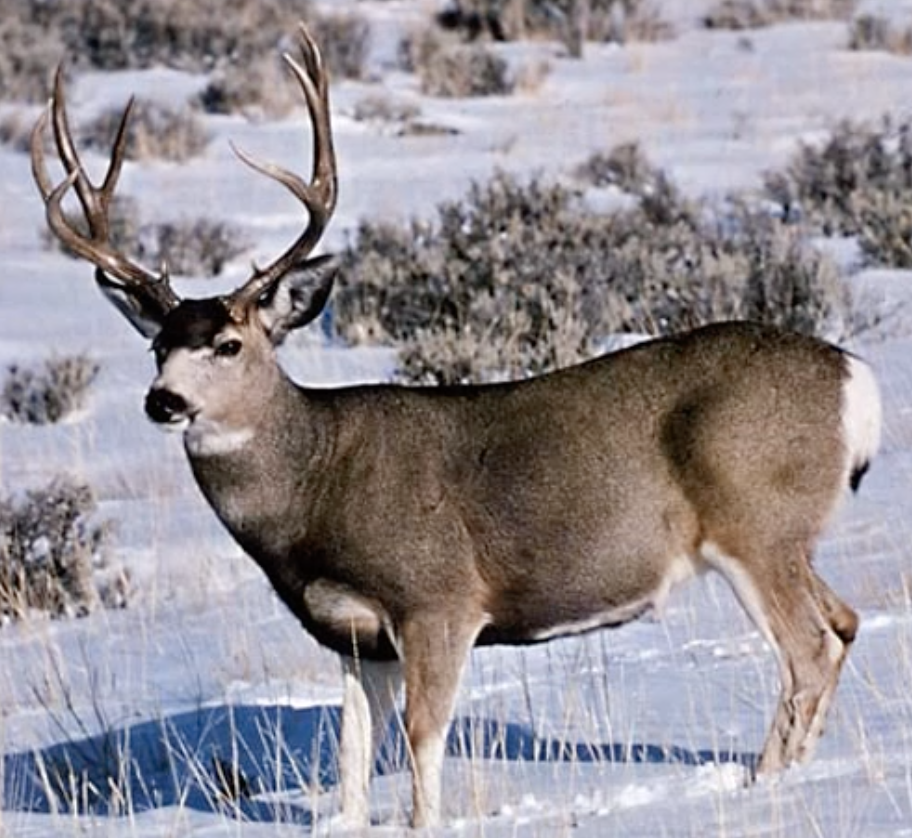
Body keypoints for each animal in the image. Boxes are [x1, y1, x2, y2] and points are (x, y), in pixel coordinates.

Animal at [32, 24, 882, 830]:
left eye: (229, 344)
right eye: (157, 346)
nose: (164, 402)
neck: (314, 487)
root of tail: (856, 381)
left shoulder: (437, 598)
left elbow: (421, 735)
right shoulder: (352, 635)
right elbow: (351, 756)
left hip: (754, 523)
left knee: (808, 649)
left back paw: (765, 783)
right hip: (788, 536)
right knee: (844, 622)